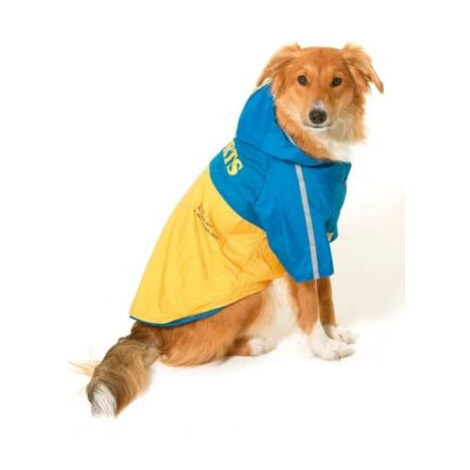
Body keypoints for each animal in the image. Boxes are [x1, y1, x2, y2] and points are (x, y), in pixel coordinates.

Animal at [82, 43, 383, 417]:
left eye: (337, 81)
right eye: (302, 79)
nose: (317, 115)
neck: (297, 145)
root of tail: (143, 329)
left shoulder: (320, 232)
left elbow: (325, 294)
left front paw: (334, 333)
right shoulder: (298, 234)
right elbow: (310, 305)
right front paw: (323, 348)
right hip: (251, 294)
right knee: (185, 355)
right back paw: (255, 344)